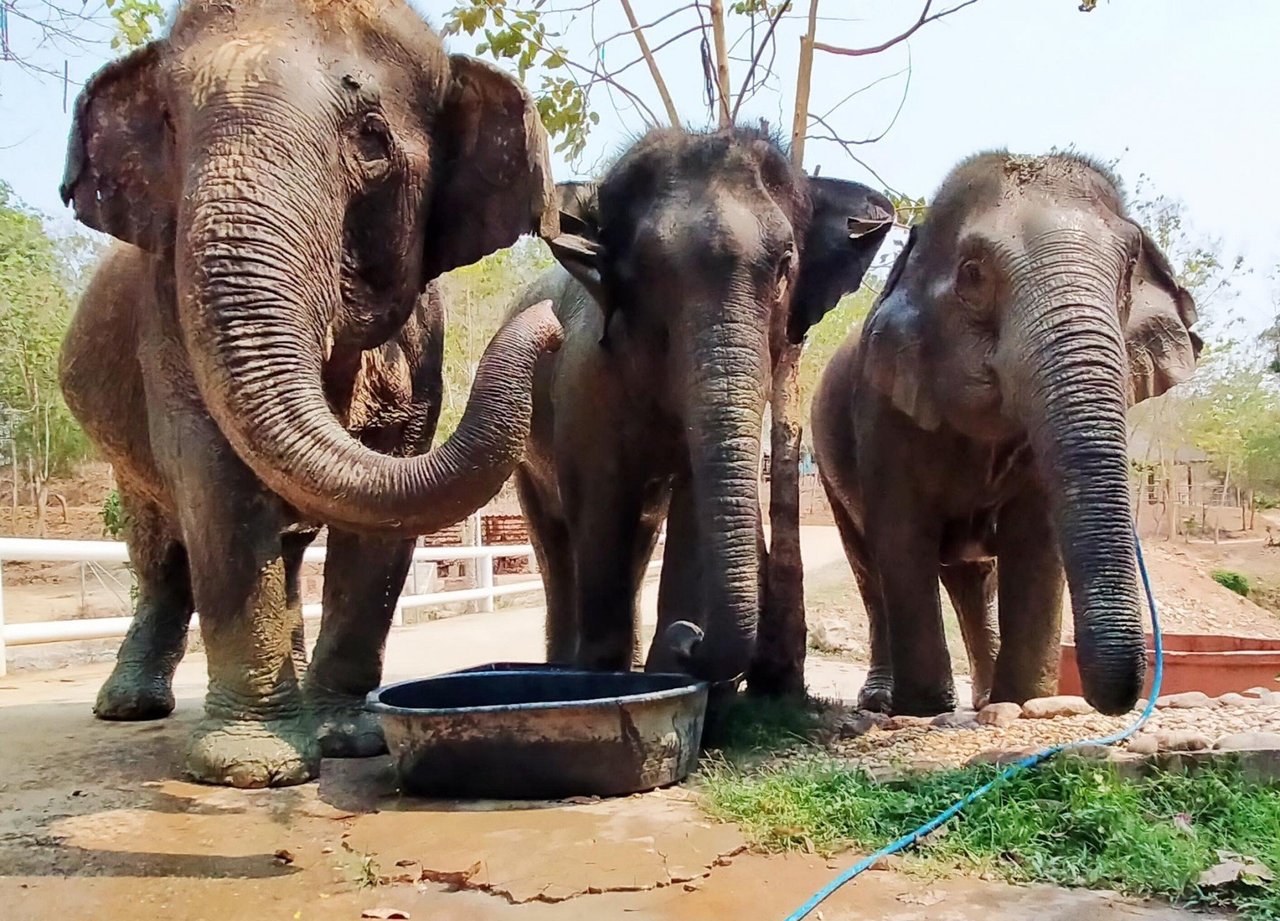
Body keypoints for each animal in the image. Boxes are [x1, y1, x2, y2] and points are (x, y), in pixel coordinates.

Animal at [57, 1, 560, 793]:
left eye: (372, 140)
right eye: (170, 129)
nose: (554, 324)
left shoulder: (423, 337)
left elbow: (394, 477)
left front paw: (347, 738)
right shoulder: (167, 307)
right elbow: (215, 477)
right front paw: (252, 768)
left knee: (285, 550)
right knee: (157, 548)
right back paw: (132, 706)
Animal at [509, 125, 890, 690]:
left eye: (785, 266)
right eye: (646, 269)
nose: (690, 638)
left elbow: (690, 502)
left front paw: (670, 674)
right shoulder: (584, 379)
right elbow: (600, 503)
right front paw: (602, 679)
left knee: (640, 539)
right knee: (555, 544)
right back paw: (562, 666)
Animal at [808, 150, 1198, 716]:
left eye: (1130, 266)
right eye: (973, 274)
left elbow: (1035, 539)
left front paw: (1024, 700)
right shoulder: (880, 409)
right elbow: (901, 536)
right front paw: (924, 709)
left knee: (970, 579)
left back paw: (985, 698)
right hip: (828, 466)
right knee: (870, 570)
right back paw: (884, 701)